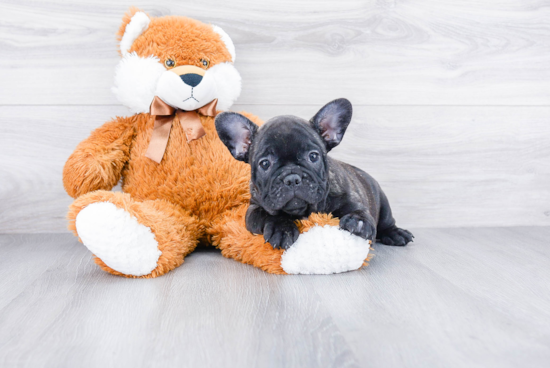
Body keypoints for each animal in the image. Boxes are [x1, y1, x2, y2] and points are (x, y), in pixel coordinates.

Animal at [216, 98, 414, 250]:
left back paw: (396, 234)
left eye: (313, 156)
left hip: (384, 203)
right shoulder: (254, 209)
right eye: (265, 163)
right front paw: (282, 229)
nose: (292, 178)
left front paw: (359, 222)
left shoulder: (350, 198)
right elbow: (268, 215)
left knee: (387, 222)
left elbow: (359, 210)